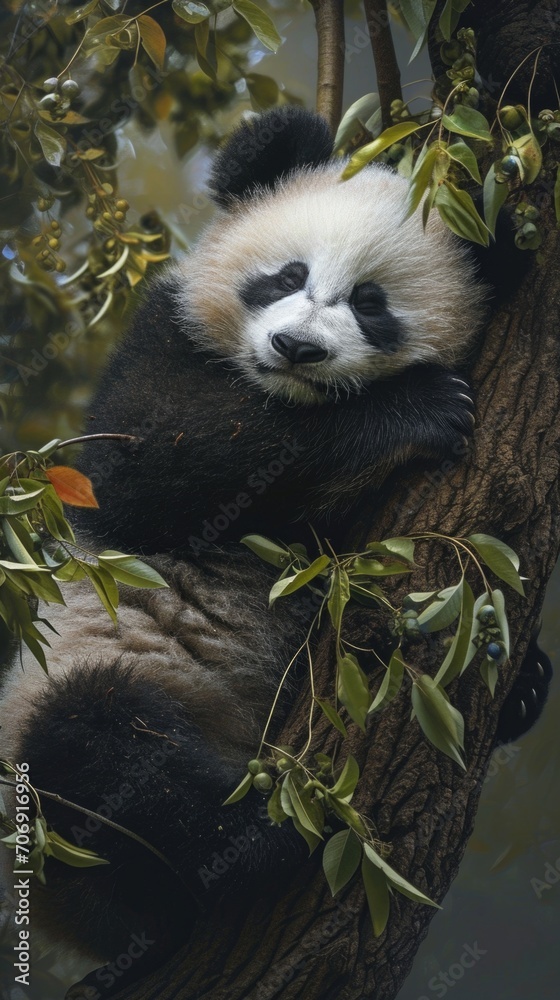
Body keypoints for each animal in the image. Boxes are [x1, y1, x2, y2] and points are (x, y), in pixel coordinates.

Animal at [0, 106, 551, 997]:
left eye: (371, 303)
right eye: (286, 274)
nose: (297, 348)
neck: (280, 392)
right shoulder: (163, 341)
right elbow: (151, 464)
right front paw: (412, 410)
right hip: (70, 720)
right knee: (100, 748)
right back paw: (260, 843)